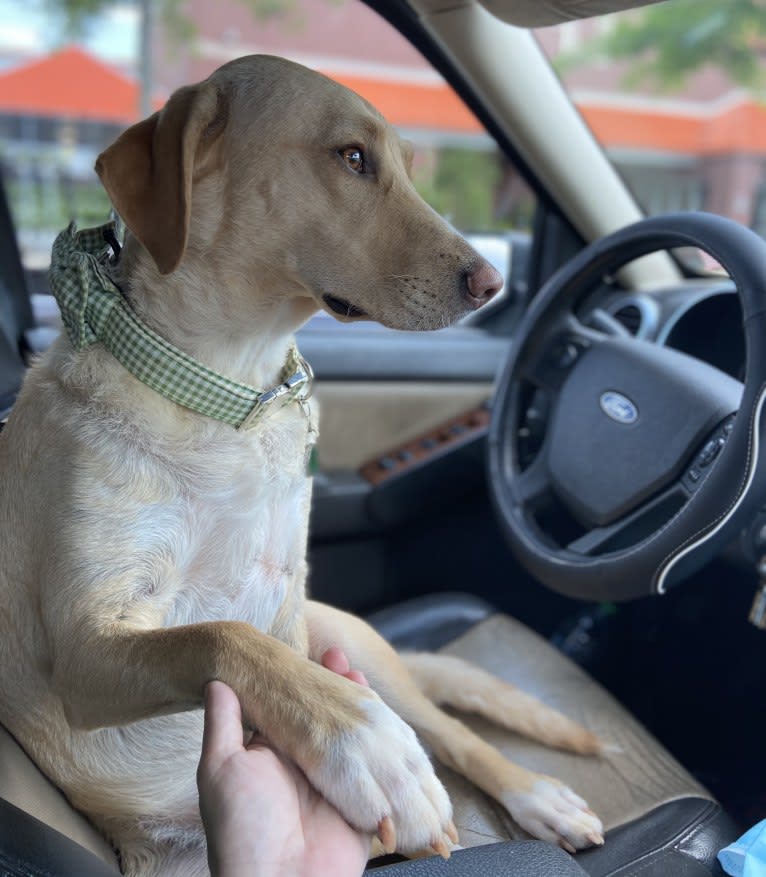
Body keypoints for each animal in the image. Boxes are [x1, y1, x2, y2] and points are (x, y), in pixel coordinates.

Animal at [0, 56, 608, 876]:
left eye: (405, 164)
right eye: (352, 158)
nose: (492, 284)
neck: (222, 393)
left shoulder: (292, 599)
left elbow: (274, 650)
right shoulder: (84, 649)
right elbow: (228, 638)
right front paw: (365, 743)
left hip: (355, 640)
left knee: (452, 732)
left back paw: (537, 793)